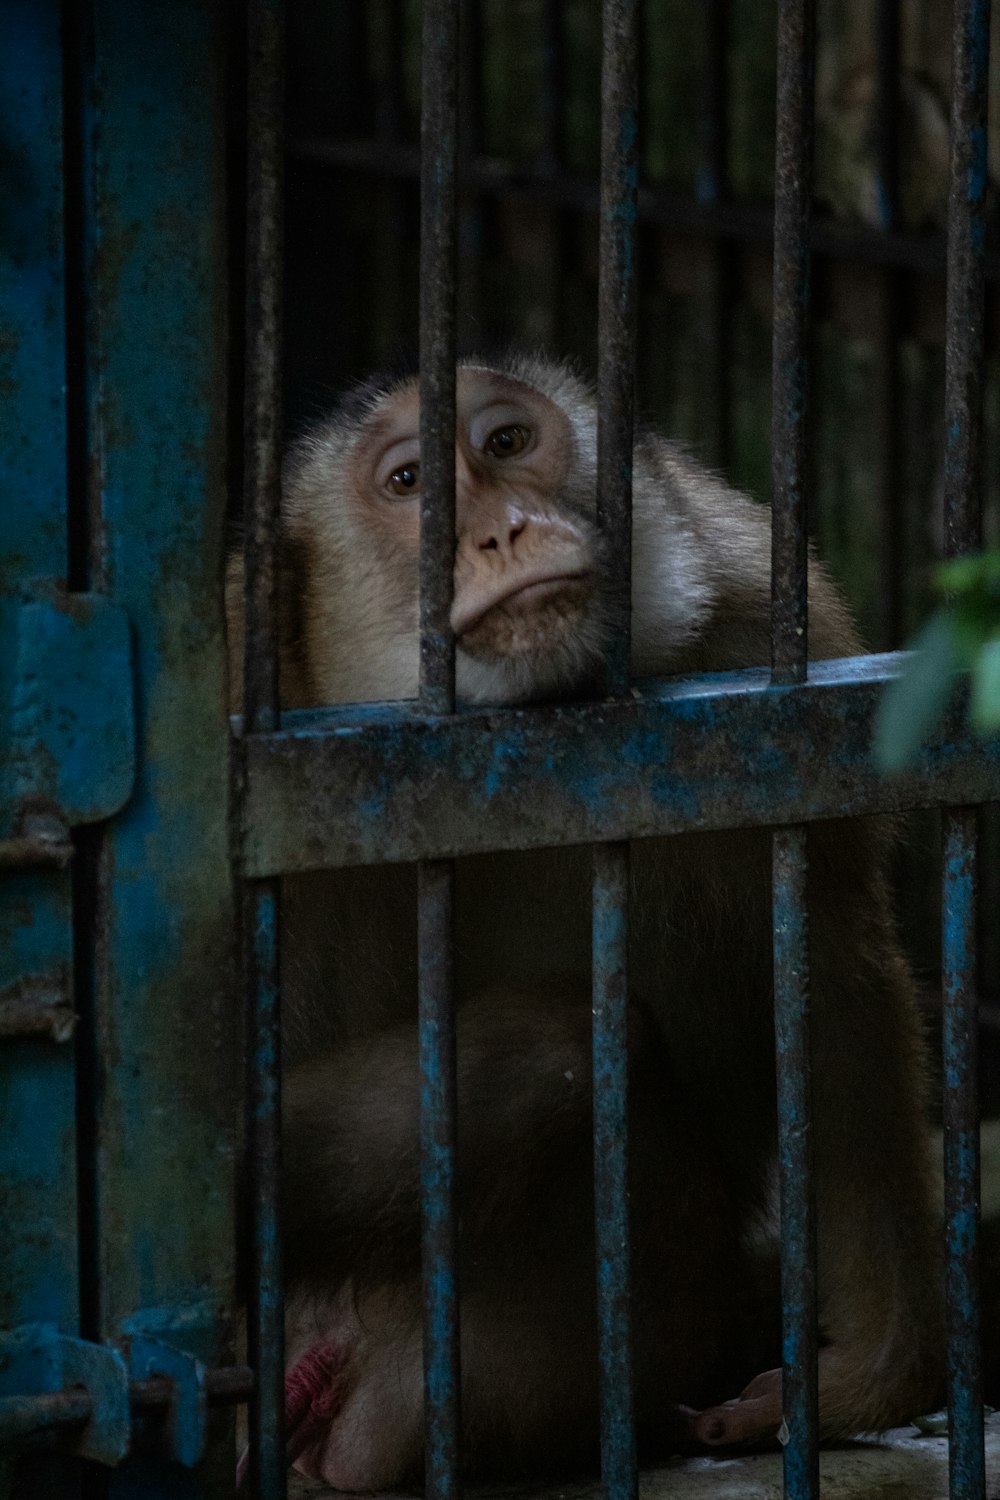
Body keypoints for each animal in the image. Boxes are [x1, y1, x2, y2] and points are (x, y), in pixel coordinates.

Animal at [229, 351, 947, 1488]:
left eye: (509, 443)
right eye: (409, 483)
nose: (503, 529)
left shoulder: (762, 634)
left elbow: (827, 983)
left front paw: (864, 1379)